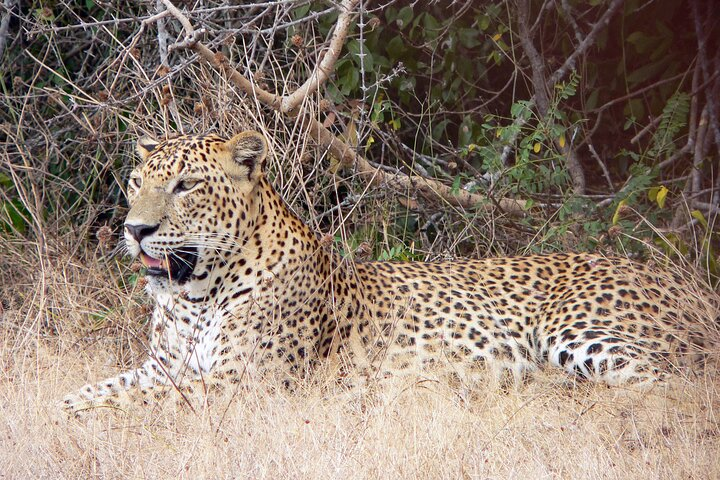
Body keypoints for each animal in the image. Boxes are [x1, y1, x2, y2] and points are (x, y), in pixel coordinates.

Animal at [62, 130, 716, 412]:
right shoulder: (164, 367)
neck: (194, 295)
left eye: (187, 185)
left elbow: (127, 405)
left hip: (579, 333)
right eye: (136, 181)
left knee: (669, 384)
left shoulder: (240, 383)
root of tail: (686, 283)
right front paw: (57, 410)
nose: (134, 229)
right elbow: (95, 391)